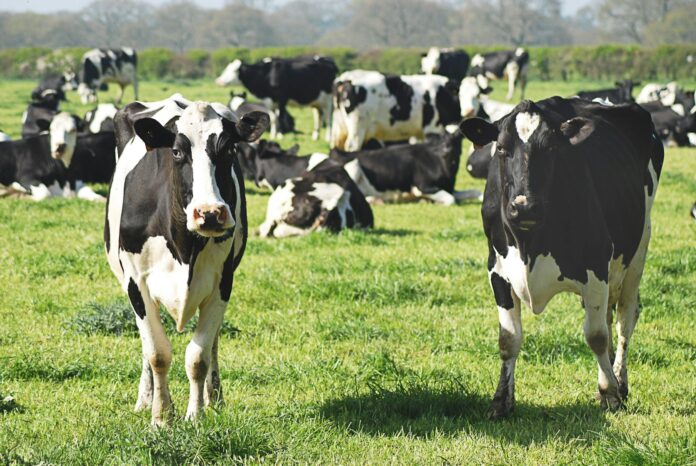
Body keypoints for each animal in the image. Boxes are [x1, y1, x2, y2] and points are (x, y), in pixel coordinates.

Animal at [105, 95, 269, 425]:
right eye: (178, 151)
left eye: (229, 149)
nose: (210, 213)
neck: (184, 247)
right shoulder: (136, 283)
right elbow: (157, 353)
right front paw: (161, 417)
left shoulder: (222, 283)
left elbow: (198, 356)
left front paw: (195, 415)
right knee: (146, 346)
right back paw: (145, 398)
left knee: (214, 341)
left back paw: (214, 397)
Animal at [329, 129, 479, 205]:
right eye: (439, 140)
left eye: (456, 139)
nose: (446, 150)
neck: (447, 170)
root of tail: (338, 152)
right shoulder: (422, 186)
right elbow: (451, 199)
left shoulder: (450, 188)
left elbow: (475, 192)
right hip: (353, 166)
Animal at [331, 70, 461, 151]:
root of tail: (345, 79)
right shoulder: (432, 127)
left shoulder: (417, 133)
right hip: (358, 128)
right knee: (352, 147)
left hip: (340, 128)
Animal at [459, 96, 663, 418]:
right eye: (501, 148)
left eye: (551, 148)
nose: (524, 206)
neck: (529, 243)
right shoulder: (498, 271)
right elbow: (508, 339)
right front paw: (501, 401)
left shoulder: (596, 266)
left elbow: (596, 336)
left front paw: (610, 394)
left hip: (638, 247)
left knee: (624, 319)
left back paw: (620, 381)